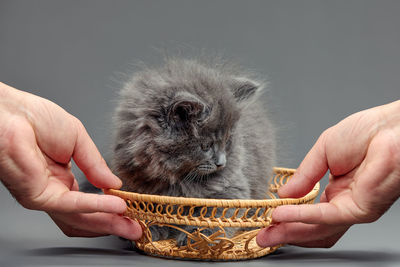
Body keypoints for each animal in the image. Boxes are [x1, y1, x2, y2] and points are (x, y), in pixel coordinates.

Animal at [111, 58, 276, 247]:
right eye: (206, 145)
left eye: (227, 141)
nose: (221, 163)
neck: (177, 178)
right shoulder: (134, 184)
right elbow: (149, 207)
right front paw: (151, 228)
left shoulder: (233, 188)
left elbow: (215, 214)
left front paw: (200, 236)